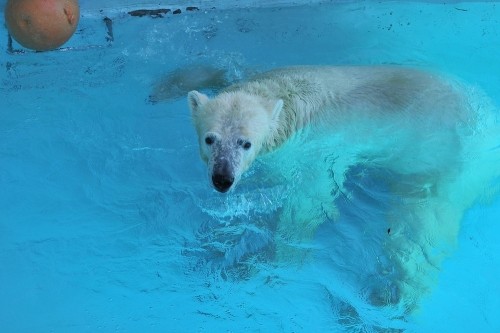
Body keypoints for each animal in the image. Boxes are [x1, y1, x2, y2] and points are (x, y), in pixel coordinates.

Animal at [187, 65, 496, 312]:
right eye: (210, 139)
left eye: (246, 143)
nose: (223, 179)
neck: (288, 104)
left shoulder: (315, 151)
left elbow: (309, 200)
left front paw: (279, 257)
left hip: (450, 163)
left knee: (419, 228)